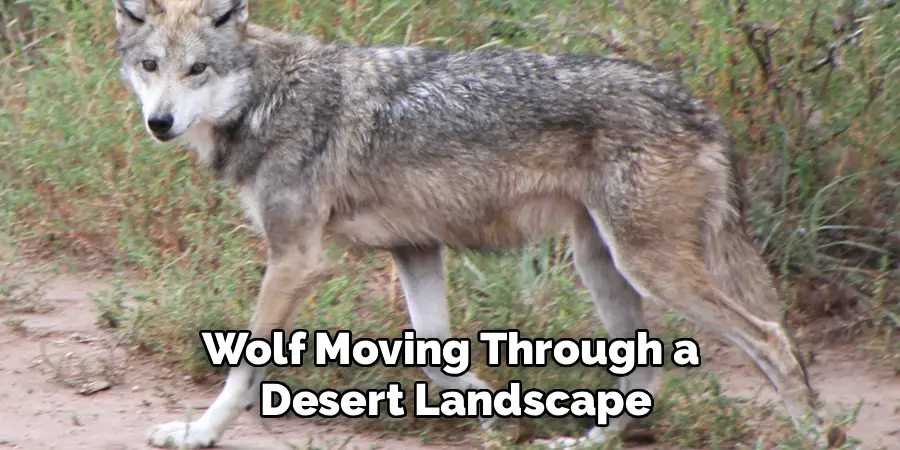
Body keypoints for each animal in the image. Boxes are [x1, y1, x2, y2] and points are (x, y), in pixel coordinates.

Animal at [111, 0, 845, 447]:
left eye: (197, 69)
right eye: (150, 67)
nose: (159, 123)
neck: (267, 98)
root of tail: (700, 108)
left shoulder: (296, 260)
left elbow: (242, 372)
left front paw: (199, 433)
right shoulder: (414, 248)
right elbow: (442, 362)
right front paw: (506, 423)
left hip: (650, 268)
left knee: (772, 338)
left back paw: (813, 434)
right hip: (602, 266)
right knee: (646, 375)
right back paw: (579, 441)